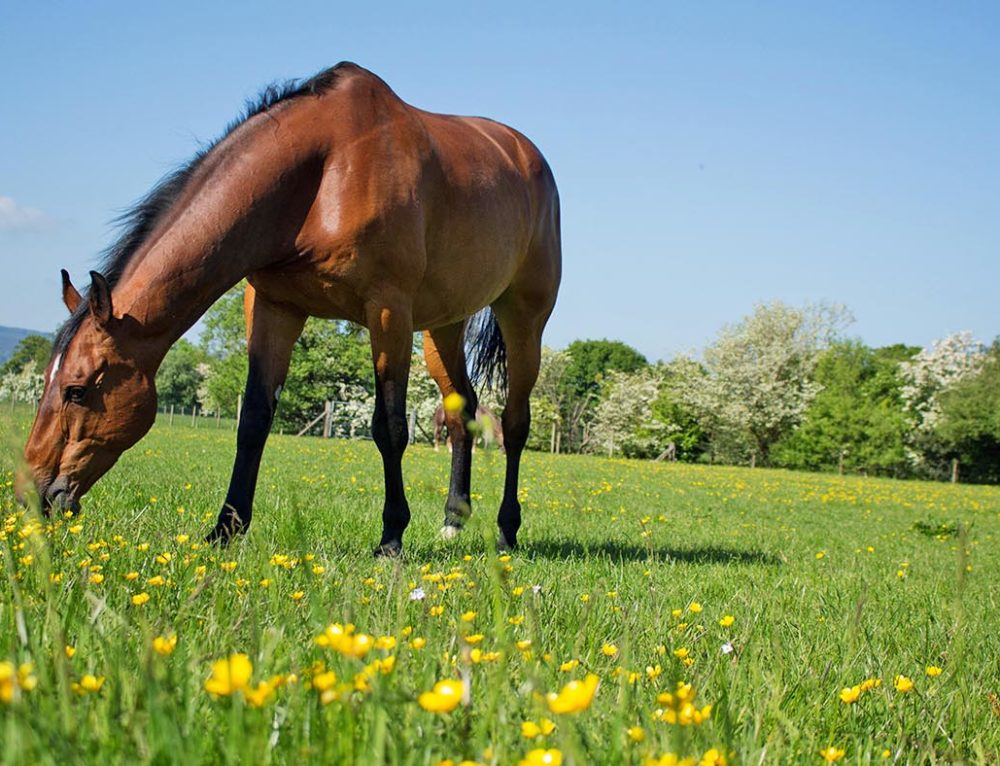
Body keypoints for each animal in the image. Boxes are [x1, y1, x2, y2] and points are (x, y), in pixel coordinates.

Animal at [19, 62, 561, 556]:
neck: (324, 175)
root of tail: (529, 158)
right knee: (461, 410)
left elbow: (388, 427)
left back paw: (507, 531)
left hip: (522, 317)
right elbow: (254, 418)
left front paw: (390, 537)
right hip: (442, 326)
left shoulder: (387, 311)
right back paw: (453, 519)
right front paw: (225, 529)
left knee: (515, 423)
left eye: (76, 390)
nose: (33, 495)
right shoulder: (273, 307)